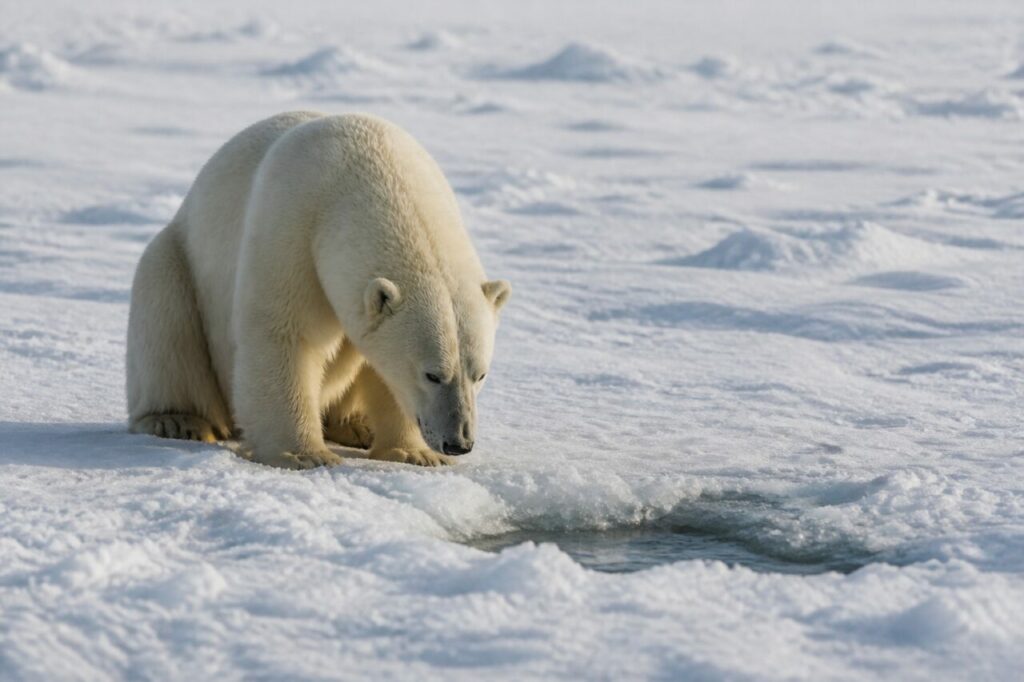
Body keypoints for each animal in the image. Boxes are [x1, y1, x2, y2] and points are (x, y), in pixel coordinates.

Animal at [126, 111, 510, 469]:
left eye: (480, 374)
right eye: (432, 374)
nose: (458, 443)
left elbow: (382, 371)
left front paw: (415, 453)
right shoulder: (292, 224)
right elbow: (285, 334)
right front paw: (304, 455)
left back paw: (356, 426)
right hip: (178, 263)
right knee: (164, 313)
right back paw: (176, 419)